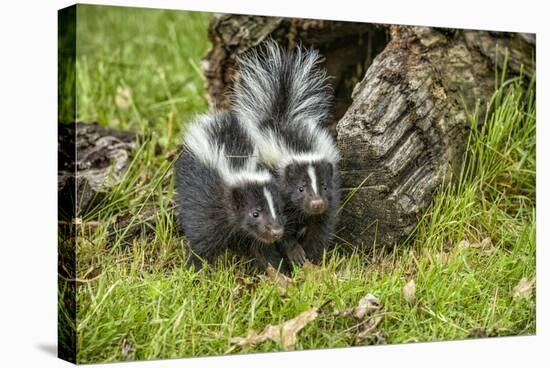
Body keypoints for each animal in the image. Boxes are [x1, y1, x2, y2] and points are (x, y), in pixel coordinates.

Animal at [177, 110, 288, 272]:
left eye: (278, 210)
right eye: (255, 213)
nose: (276, 232)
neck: (239, 169)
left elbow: (262, 249)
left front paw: (277, 270)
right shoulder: (208, 206)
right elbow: (203, 241)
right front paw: (194, 269)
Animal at [232, 39, 340, 264]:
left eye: (325, 186)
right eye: (300, 188)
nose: (316, 203)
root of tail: (279, 117)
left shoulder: (330, 199)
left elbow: (322, 226)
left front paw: (313, 257)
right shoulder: (278, 196)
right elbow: (283, 229)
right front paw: (296, 253)